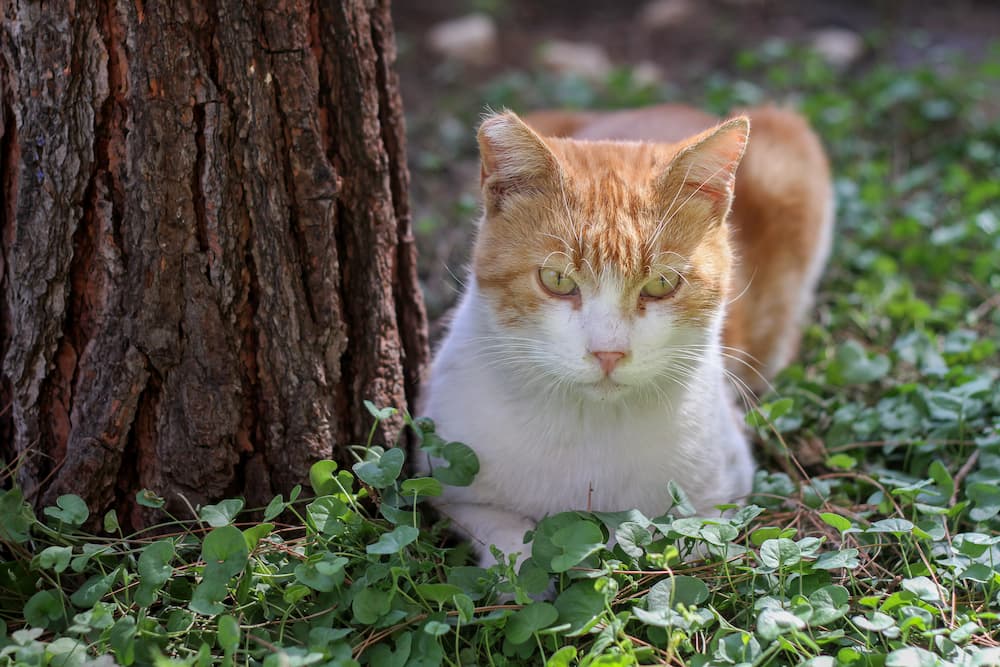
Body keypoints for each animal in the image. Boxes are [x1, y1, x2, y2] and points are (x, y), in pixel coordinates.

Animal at [418, 102, 832, 568]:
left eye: (662, 284)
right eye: (557, 279)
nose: (608, 352)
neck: (590, 426)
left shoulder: (720, 502)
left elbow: (653, 538)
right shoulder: (451, 482)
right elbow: (505, 538)